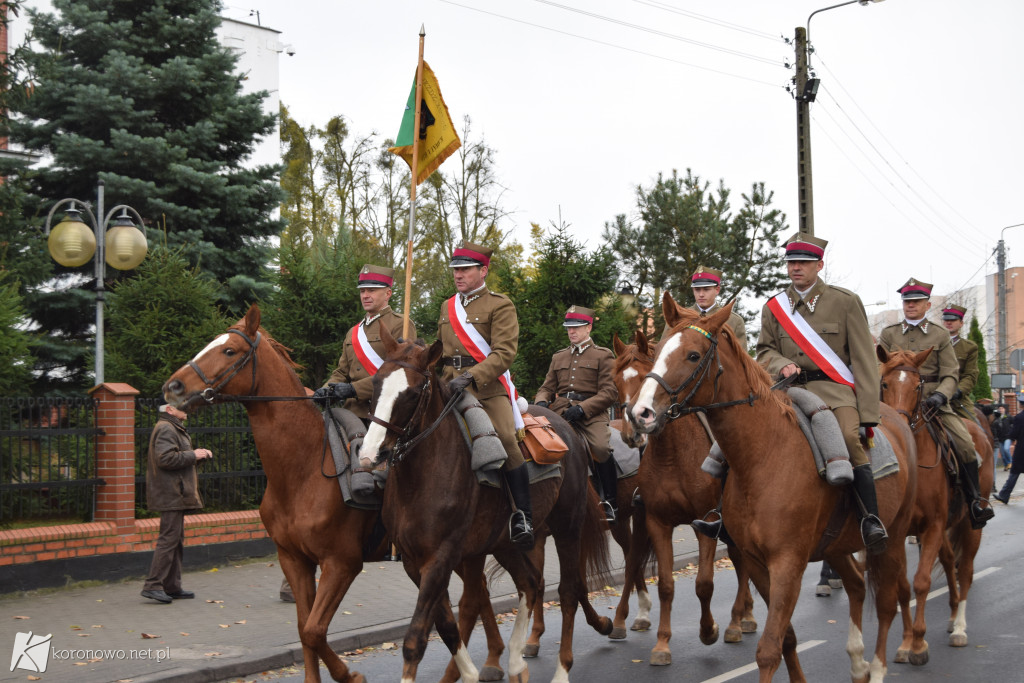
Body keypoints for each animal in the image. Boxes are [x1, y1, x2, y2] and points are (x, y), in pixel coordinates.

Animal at [161, 307, 505, 683]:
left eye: (229, 350)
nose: (173, 387)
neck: (303, 468)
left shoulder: (341, 564)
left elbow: (314, 630)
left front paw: (351, 676)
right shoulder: (294, 559)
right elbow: (304, 629)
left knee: (472, 600)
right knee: (479, 595)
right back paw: (490, 661)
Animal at [360, 325, 610, 683]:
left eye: (412, 393)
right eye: (376, 384)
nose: (370, 455)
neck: (422, 477)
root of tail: (569, 430)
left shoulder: (442, 558)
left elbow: (415, 640)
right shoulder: (413, 562)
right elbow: (447, 628)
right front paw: (471, 674)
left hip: (567, 528)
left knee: (568, 592)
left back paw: (562, 669)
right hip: (505, 542)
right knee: (531, 583)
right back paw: (517, 662)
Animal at [606, 327, 761, 663]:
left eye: (644, 374)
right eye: (615, 382)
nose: (633, 428)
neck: (673, 456)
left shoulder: (705, 522)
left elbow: (704, 583)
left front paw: (709, 630)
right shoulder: (655, 521)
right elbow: (664, 583)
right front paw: (662, 644)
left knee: (742, 563)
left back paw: (738, 621)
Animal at [626, 305, 917, 683]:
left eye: (693, 356)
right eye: (657, 352)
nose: (640, 414)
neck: (763, 455)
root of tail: (897, 419)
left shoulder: (787, 563)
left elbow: (767, 650)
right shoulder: (756, 560)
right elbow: (785, 638)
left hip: (893, 537)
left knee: (885, 603)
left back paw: (880, 667)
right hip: (836, 544)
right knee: (855, 585)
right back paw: (857, 663)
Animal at [880, 348, 991, 663]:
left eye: (918, 386)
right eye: (884, 383)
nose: (898, 425)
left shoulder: (932, 526)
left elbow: (921, 582)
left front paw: (919, 643)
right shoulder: (901, 532)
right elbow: (903, 588)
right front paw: (906, 643)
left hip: (970, 525)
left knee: (965, 570)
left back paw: (960, 628)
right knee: (950, 560)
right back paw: (952, 616)